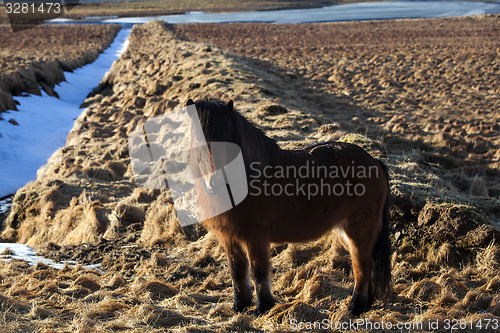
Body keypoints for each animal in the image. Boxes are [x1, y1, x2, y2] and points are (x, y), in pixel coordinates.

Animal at [186, 97, 392, 316]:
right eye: (198, 141)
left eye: (228, 140)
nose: (215, 182)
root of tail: (375, 162)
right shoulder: (229, 238)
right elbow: (237, 270)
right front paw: (240, 306)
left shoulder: (255, 238)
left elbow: (259, 272)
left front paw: (263, 307)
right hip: (347, 234)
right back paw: (364, 305)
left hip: (358, 233)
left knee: (362, 267)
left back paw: (355, 307)